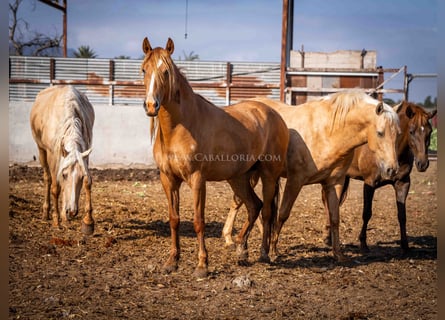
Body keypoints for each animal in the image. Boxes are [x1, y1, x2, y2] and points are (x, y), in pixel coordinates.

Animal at [30, 85, 95, 235]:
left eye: (81, 177)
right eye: (65, 175)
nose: (72, 211)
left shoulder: (84, 153)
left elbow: (88, 182)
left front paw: (88, 222)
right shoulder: (52, 155)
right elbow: (55, 187)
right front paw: (56, 221)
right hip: (41, 151)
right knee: (48, 179)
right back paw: (47, 212)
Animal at [140, 37, 290, 278]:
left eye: (165, 72)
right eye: (144, 69)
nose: (151, 105)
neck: (180, 127)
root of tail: (274, 114)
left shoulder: (197, 179)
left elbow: (198, 221)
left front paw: (202, 265)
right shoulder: (168, 179)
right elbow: (174, 219)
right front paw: (172, 261)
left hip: (269, 175)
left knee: (266, 211)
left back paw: (264, 254)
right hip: (238, 177)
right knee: (253, 206)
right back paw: (241, 249)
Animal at [222, 91, 398, 262]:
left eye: (398, 134)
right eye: (380, 133)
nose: (392, 169)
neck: (329, 132)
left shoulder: (334, 183)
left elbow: (334, 217)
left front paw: (338, 254)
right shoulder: (295, 180)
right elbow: (283, 214)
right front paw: (273, 250)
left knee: (244, 202)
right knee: (245, 203)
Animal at [320, 101, 436, 254]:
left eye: (430, 132)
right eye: (411, 131)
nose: (423, 164)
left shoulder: (403, 183)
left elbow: (402, 215)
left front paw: (405, 246)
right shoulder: (370, 183)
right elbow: (367, 213)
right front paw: (363, 244)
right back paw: (327, 238)